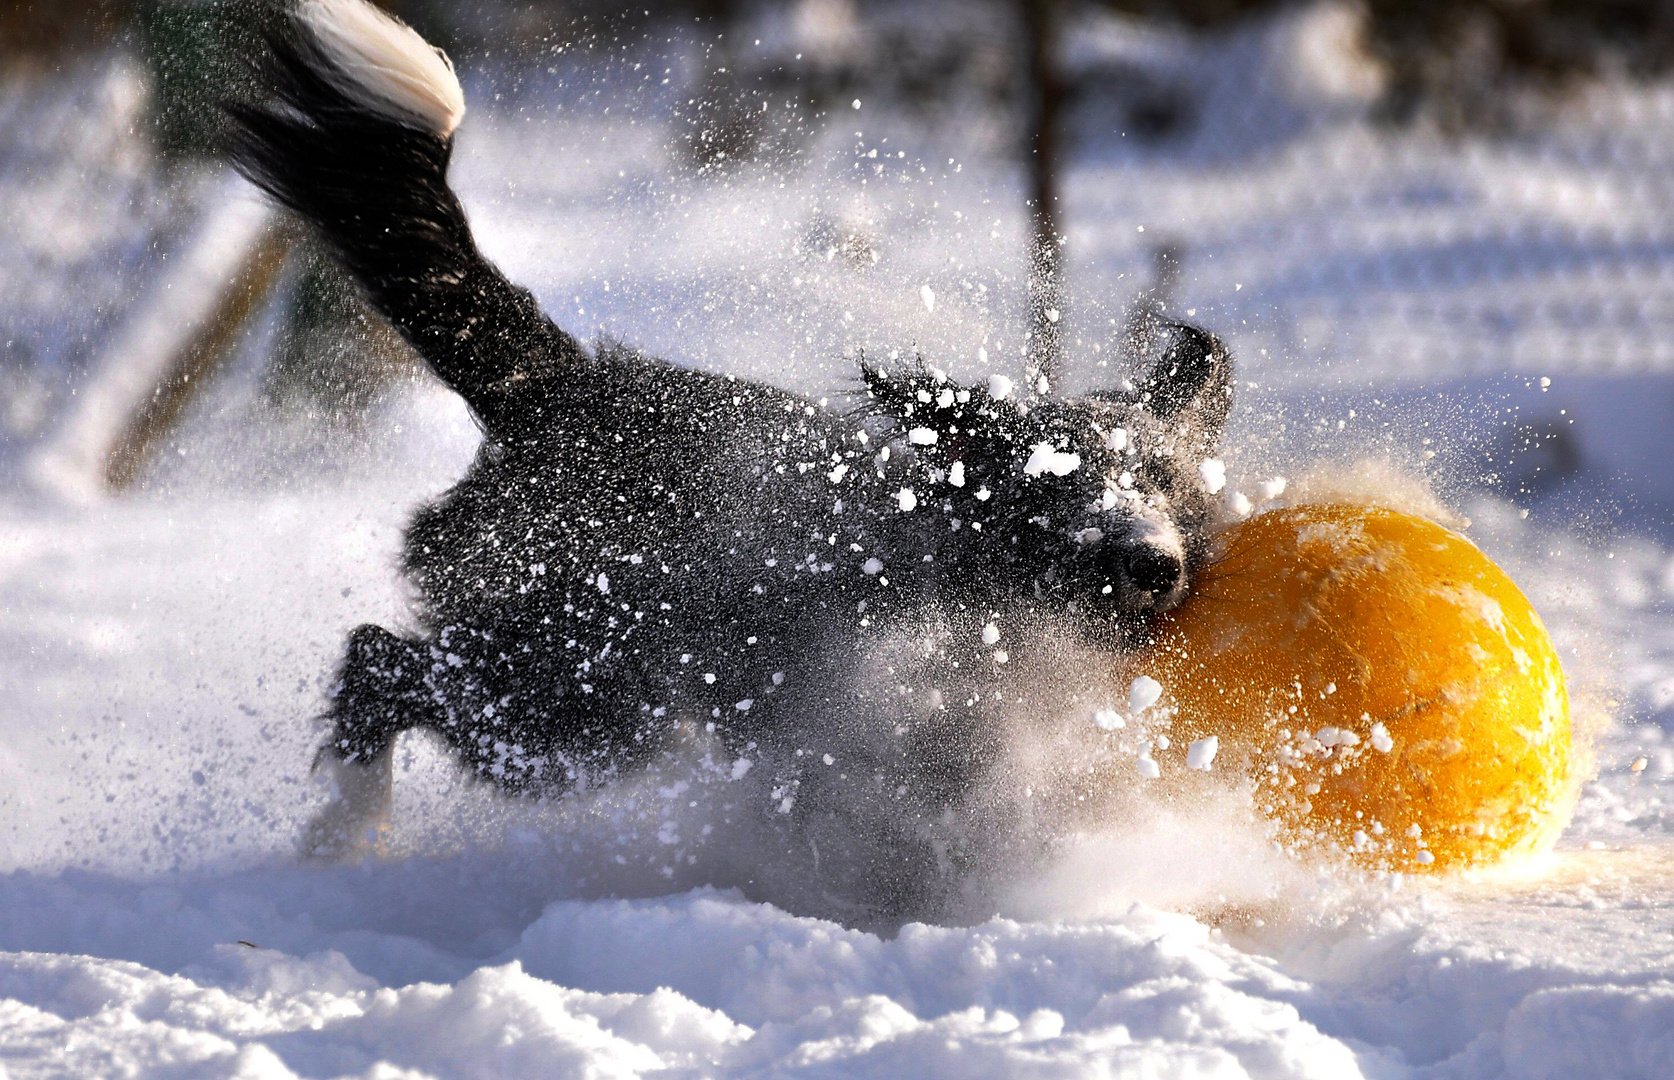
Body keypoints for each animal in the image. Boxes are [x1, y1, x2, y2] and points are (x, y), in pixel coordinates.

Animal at [225, 2, 1232, 904]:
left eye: (1162, 482)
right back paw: (346, 831)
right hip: (572, 699)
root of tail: (562, 385)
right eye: (1049, 486)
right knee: (377, 662)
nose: (1151, 562)